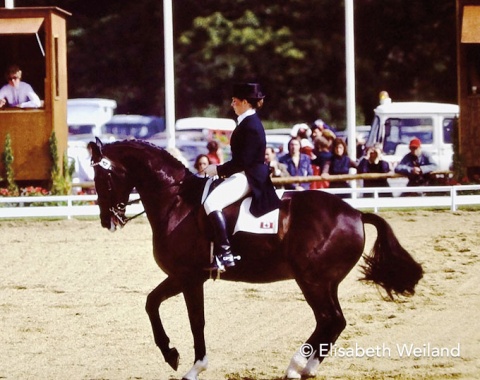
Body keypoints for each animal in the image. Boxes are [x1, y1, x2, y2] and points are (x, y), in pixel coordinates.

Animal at [88, 140, 422, 380]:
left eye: (102, 177)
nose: (107, 221)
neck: (176, 201)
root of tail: (355, 214)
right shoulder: (182, 277)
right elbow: (151, 302)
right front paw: (171, 354)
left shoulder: (189, 277)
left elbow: (195, 321)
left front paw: (193, 367)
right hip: (326, 282)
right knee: (333, 321)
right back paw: (307, 368)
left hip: (312, 281)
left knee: (330, 319)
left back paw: (294, 367)